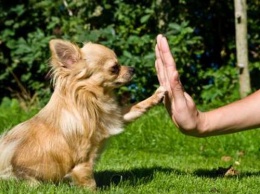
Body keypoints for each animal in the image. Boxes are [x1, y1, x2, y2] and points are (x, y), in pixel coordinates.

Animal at [0, 38, 165, 189]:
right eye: (114, 68)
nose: (132, 68)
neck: (90, 101)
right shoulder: (83, 161)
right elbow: (89, 182)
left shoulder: (114, 118)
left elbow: (137, 107)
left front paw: (158, 94)